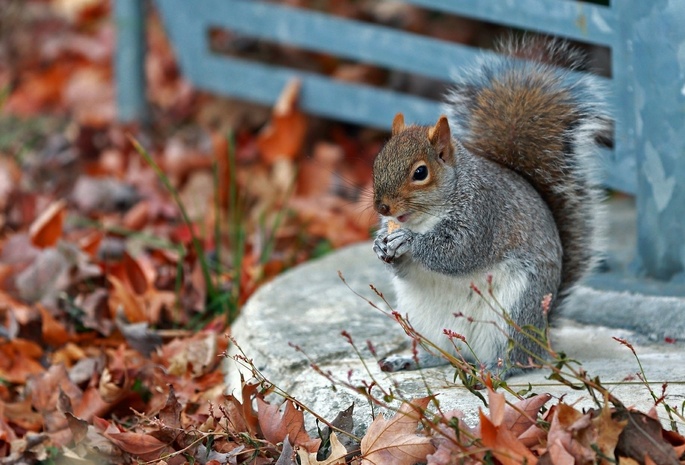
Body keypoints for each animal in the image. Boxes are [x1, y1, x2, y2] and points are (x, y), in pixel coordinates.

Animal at [372, 37, 608, 376]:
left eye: (420, 173)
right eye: (378, 161)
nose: (382, 208)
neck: (425, 217)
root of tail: (543, 336)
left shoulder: (484, 213)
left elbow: (458, 252)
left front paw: (409, 241)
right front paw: (380, 245)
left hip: (514, 314)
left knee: (514, 357)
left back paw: (496, 371)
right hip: (423, 321)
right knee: (441, 353)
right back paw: (409, 359)